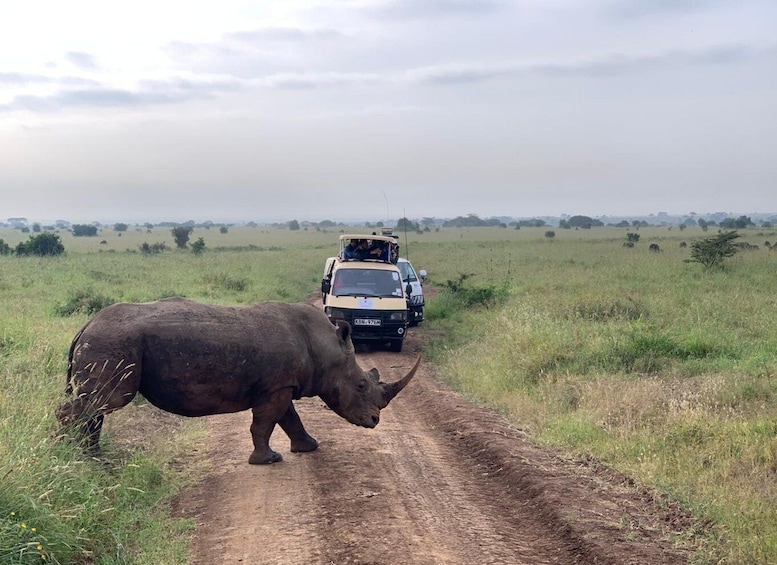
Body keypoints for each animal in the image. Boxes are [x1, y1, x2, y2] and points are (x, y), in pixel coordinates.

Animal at [56, 297, 418, 464]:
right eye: (361, 385)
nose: (374, 421)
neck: (325, 347)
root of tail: (86, 326)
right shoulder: (277, 387)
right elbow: (265, 423)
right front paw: (268, 461)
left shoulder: (280, 385)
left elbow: (289, 419)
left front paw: (309, 447)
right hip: (113, 341)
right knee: (103, 403)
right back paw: (73, 456)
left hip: (107, 340)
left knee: (96, 406)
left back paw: (89, 459)